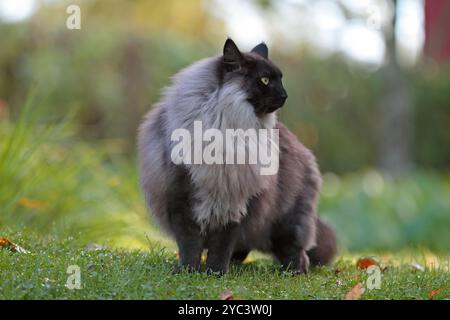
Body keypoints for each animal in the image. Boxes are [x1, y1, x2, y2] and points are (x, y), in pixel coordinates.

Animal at [139, 38, 336, 276]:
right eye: (265, 80)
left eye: (280, 79)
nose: (284, 96)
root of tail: (304, 150)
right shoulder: (181, 200)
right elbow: (189, 245)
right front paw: (188, 271)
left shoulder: (234, 203)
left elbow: (220, 246)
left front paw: (216, 273)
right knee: (245, 249)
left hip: (287, 221)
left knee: (296, 252)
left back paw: (293, 272)